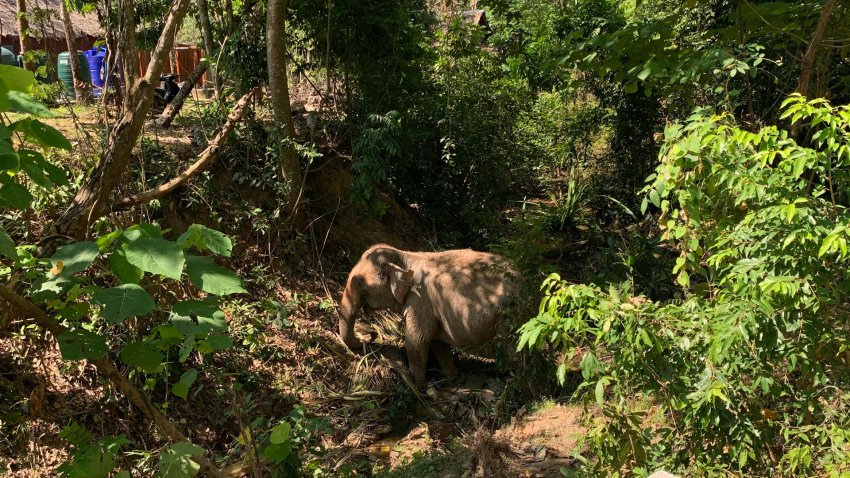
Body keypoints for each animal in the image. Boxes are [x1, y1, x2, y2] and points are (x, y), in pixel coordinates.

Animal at [340, 243, 516, 388]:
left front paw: (419, 388)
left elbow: (417, 341)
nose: (372, 334)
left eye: (358, 282)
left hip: (507, 318)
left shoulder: (419, 300)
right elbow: (437, 341)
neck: (405, 256)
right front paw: (451, 378)